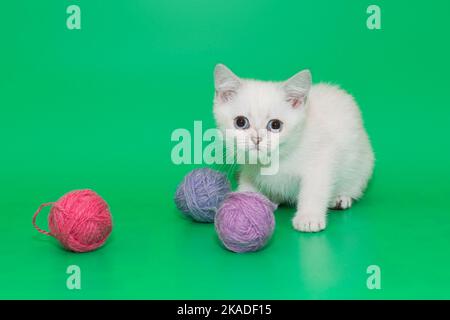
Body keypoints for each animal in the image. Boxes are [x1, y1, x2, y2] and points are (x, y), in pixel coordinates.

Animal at [213, 63, 374, 231]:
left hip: (362, 165)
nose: (256, 139)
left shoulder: (321, 159)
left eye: (275, 125)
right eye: (240, 122)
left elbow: (314, 189)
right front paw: (243, 203)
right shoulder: (249, 167)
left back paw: (340, 198)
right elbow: (247, 182)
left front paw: (309, 217)